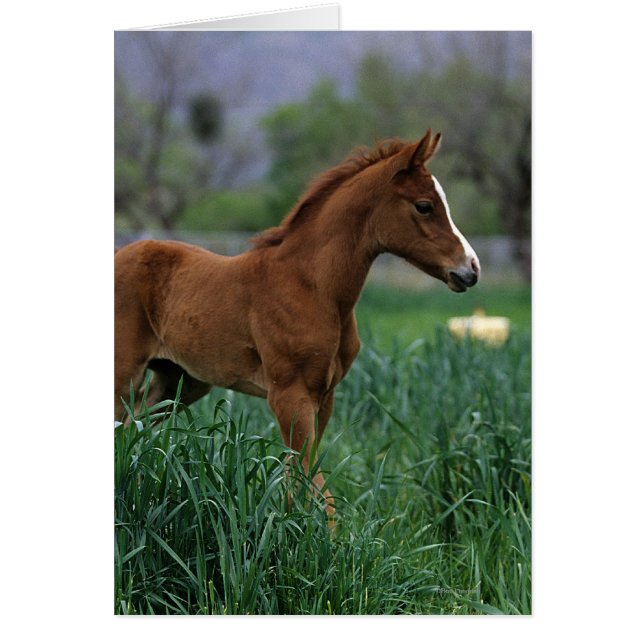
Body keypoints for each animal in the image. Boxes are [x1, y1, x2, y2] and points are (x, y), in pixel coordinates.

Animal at [114, 128, 480, 517]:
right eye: (424, 205)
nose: (471, 269)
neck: (314, 288)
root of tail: (120, 252)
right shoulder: (289, 395)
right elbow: (313, 484)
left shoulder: (324, 396)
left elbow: (302, 479)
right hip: (125, 373)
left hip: (179, 381)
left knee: (133, 428)